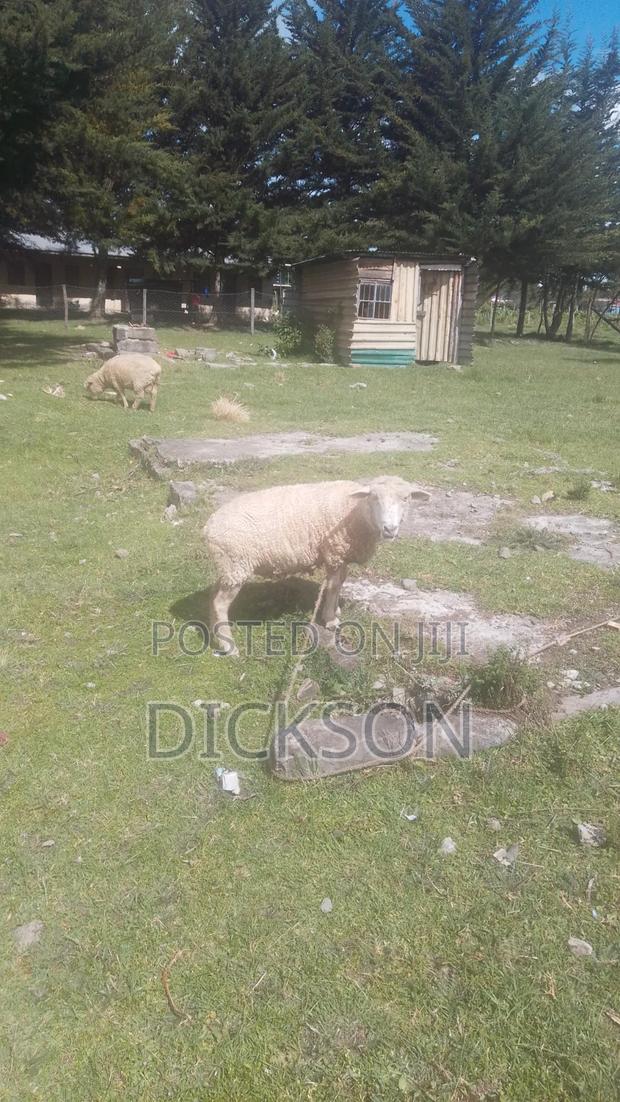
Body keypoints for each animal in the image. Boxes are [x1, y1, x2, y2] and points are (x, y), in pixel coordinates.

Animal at [204, 476, 431, 656]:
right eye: (374, 498)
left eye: (406, 499)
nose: (390, 529)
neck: (356, 511)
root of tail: (208, 527)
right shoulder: (335, 551)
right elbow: (333, 586)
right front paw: (330, 619)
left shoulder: (341, 555)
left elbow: (339, 583)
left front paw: (336, 611)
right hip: (236, 564)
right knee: (220, 604)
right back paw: (229, 646)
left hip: (227, 567)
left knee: (214, 597)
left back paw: (214, 633)